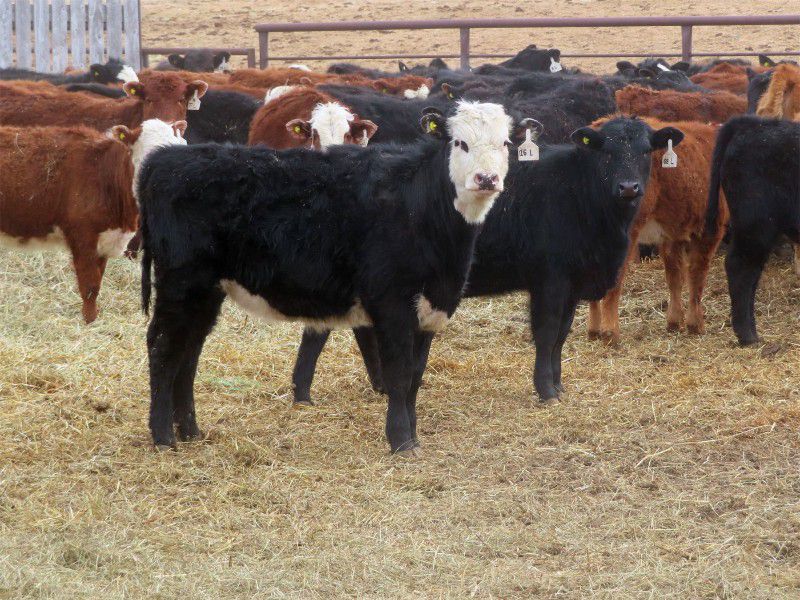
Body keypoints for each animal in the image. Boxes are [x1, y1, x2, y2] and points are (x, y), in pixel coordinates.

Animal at [0, 119, 185, 323]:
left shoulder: (105, 242)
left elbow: (98, 280)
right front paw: (89, 320)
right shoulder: (83, 237)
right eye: (148, 158)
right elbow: (90, 286)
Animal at [137, 101, 514, 453]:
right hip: (182, 284)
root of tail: (166, 158)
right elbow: (399, 374)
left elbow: (415, 377)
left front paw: (414, 438)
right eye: (460, 143)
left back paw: (190, 431)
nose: (486, 179)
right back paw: (163, 437)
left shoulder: (430, 308)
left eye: (505, 143)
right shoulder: (392, 304)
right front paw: (400, 440)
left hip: (207, 291)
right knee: (163, 347)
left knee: (189, 352)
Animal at [290, 117, 684, 406]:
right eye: (607, 153)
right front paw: (545, 390)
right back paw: (305, 394)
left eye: (646, 151)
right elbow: (546, 333)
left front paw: (558, 386)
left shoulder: (571, 284)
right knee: (321, 330)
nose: (629, 187)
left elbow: (561, 335)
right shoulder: (551, 279)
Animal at [586, 118, 727, 344]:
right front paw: (695, 323)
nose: (628, 187)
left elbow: (675, 276)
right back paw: (610, 332)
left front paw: (674, 321)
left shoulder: (673, 234)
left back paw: (594, 329)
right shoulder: (710, 229)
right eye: (607, 152)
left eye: (647, 151)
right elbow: (697, 275)